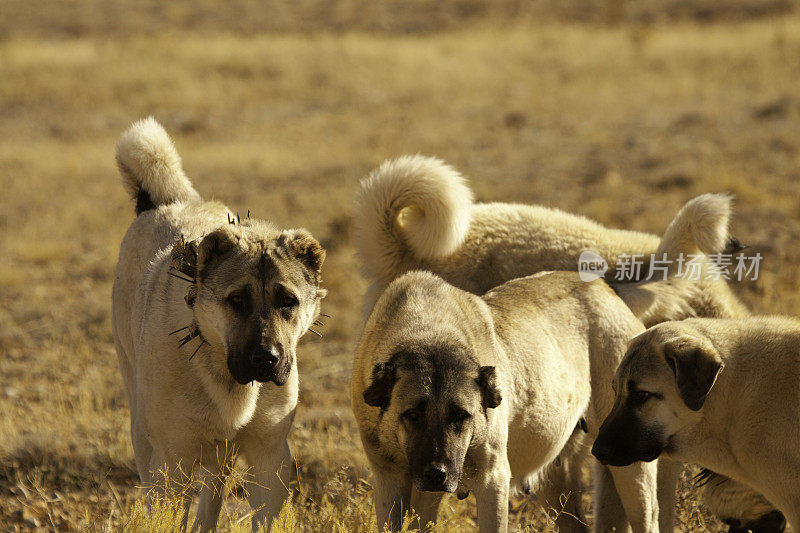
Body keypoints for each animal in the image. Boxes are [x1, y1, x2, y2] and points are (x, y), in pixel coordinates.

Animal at [111, 118, 326, 528]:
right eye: (236, 301)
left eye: (288, 301)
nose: (266, 359)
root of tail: (166, 203)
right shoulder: (171, 466)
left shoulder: (269, 460)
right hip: (143, 436)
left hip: (220, 454)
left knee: (212, 495)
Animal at [354, 270, 664, 532]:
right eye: (413, 415)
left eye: (461, 416)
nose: (437, 474)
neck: (428, 332)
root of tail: (604, 288)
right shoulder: (392, 482)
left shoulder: (493, 481)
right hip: (556, 477)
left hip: (631, 470)